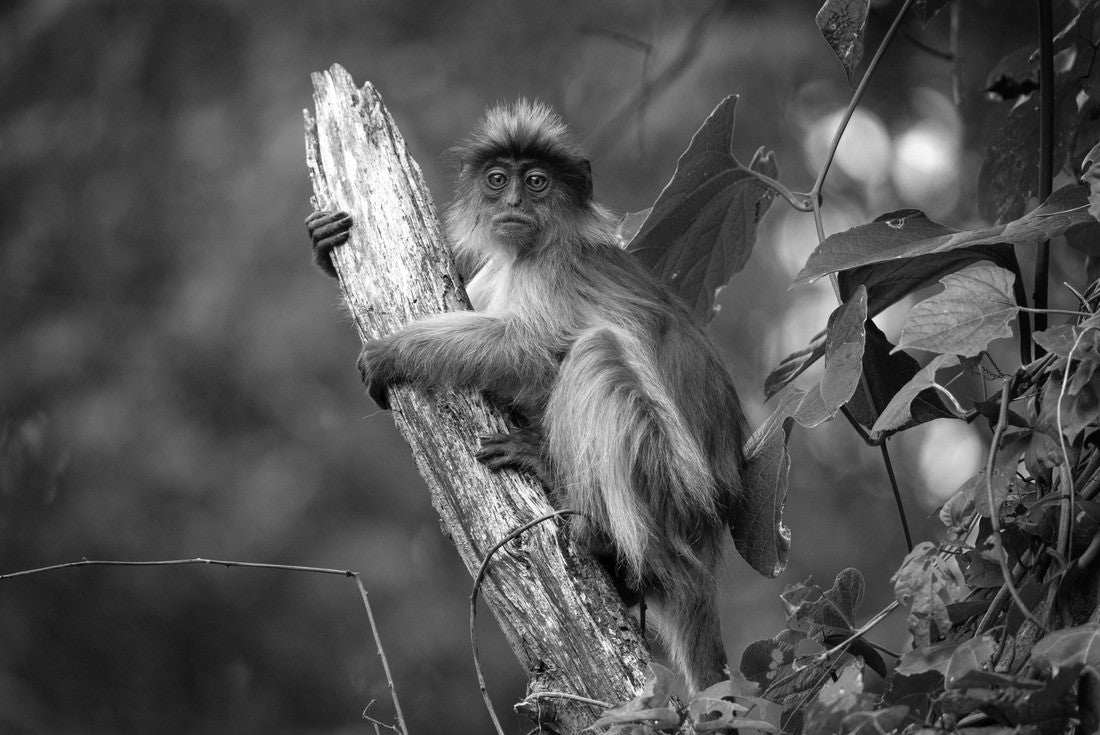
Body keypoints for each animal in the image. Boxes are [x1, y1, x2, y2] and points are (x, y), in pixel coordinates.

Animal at [306, 101, 747, 692]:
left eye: (536, 182)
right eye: (498, 181)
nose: (514, 202)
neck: (529, 250)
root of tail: (707, 536)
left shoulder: (552, 267)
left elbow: (532, 354)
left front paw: (397, 349)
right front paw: (323, 247)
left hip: (673, 488)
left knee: (596, 351)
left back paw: (590, 519)